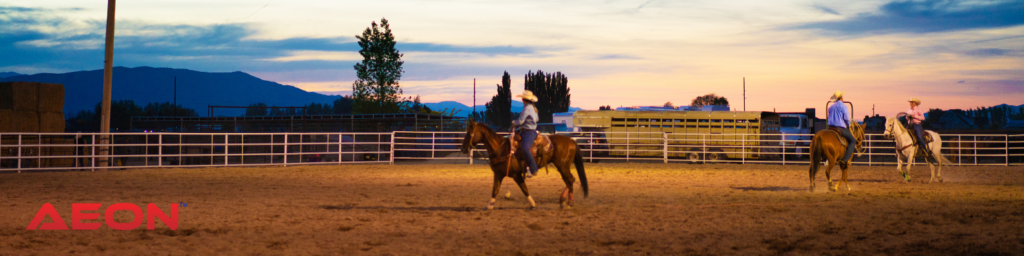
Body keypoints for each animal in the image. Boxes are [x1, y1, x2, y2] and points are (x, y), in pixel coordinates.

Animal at [460, 119, 589, 209]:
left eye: (468, 134)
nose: (463, 149)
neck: (502, 149)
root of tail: (571, 141)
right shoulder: (498, 174)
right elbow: (495, 190)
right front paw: (489, 206)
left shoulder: (516, 175)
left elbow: (524, 189)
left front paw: (532, 204)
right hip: (563, 167)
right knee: (570, 180)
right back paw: (563, 201)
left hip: (563, 166)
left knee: (570, 180)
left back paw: (567, 202)